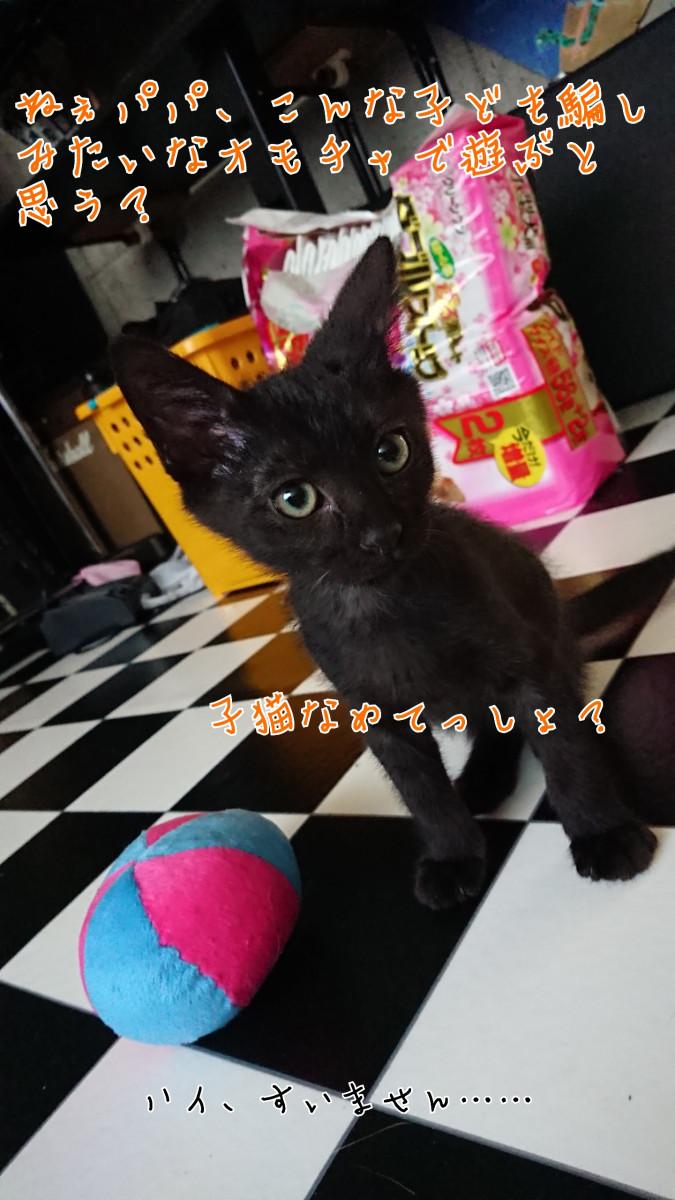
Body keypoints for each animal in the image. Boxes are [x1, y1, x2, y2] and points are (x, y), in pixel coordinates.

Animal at [112, 237, 673, 910]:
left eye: (392, 451)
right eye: (295, 499)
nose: (382, 535)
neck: (380, 608)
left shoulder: (527, 666)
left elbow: (565, 751)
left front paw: (603, 832)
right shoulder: (375, 711)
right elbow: (423, 794)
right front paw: (454, 857)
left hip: (546, 639)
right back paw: (480, 782)